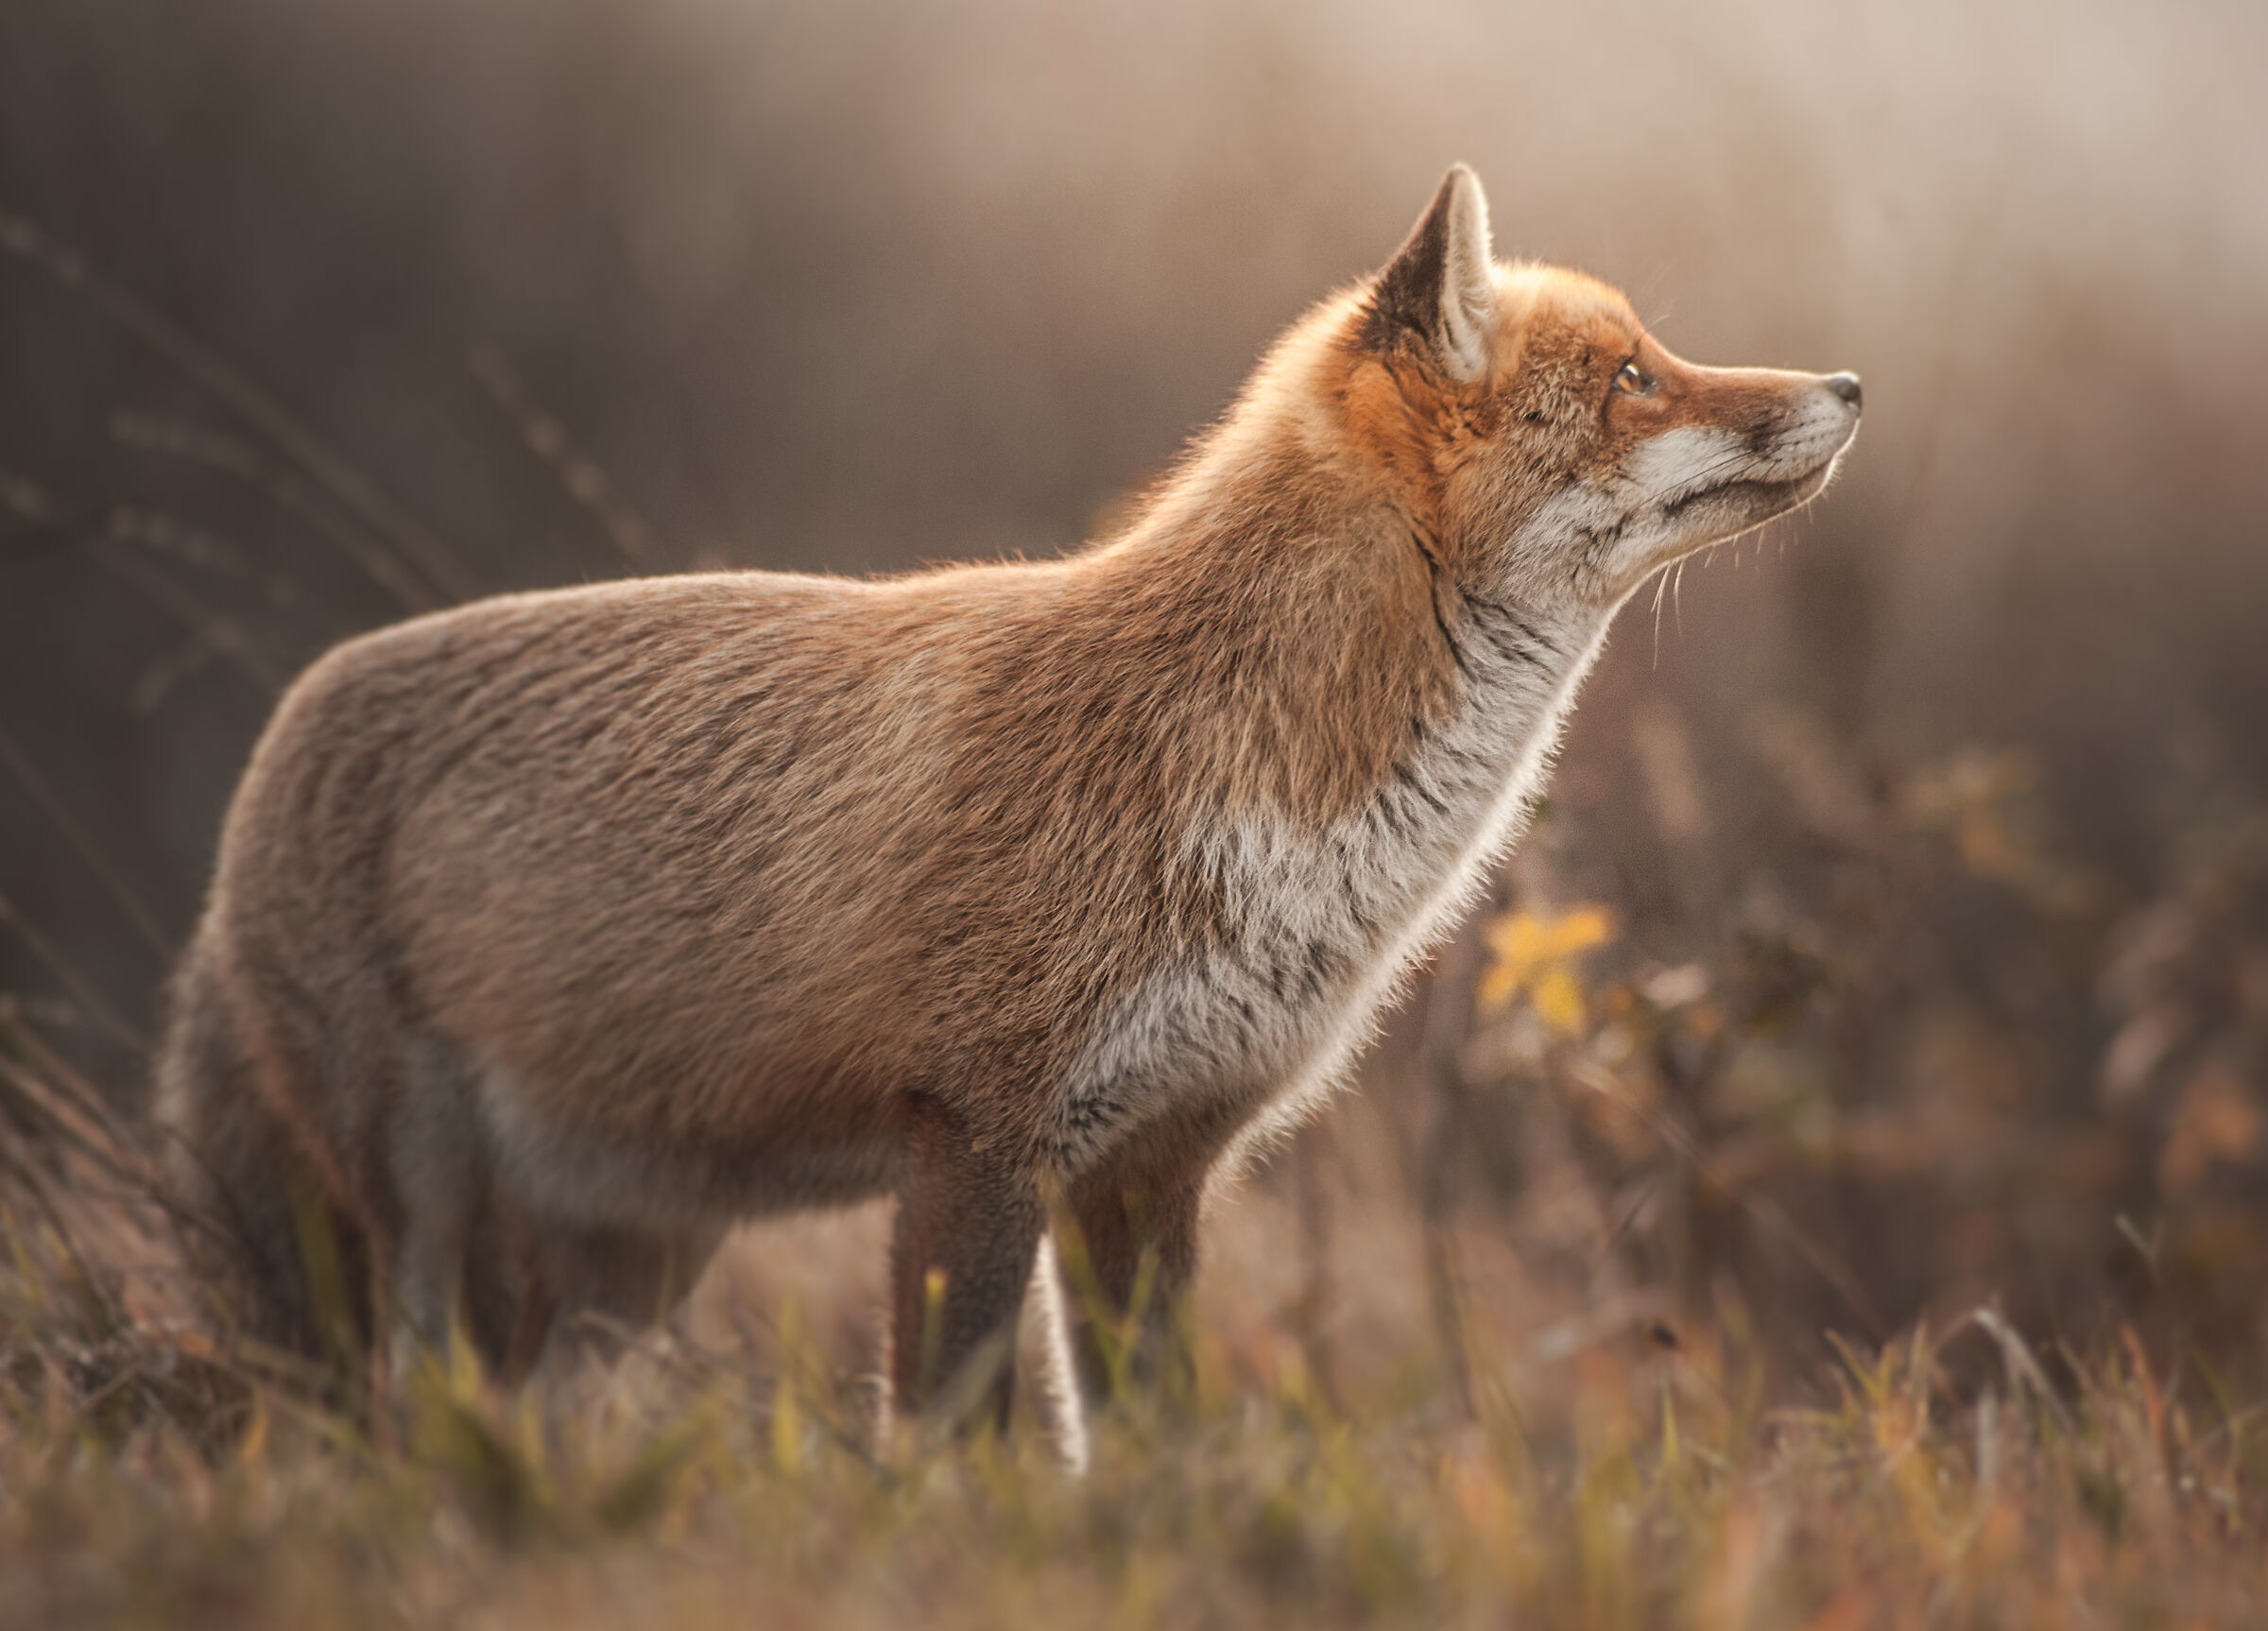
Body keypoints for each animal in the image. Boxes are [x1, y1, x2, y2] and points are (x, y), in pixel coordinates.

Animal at [153, 163, 1859, 1454]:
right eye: (1635, 375)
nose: (1847, 380)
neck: (1248, 777)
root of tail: (275, 739)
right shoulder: (975, 1137)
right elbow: (959, 1446)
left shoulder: (1154, 1163)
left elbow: (1149, 1452)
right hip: (420, 1224)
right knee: (393, 1421)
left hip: (621, 1268)